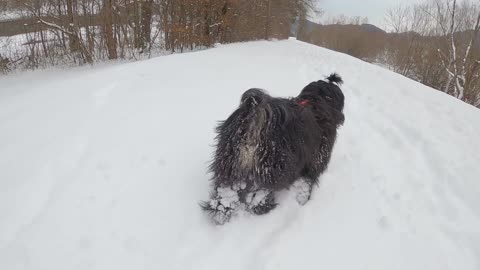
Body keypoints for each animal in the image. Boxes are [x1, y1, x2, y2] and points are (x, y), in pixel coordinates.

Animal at [202, 74, 344, 226]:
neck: (317, 101)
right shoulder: (315, 158)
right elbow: (306, 182)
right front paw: (303, 199)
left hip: (230, 160)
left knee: (226, 190)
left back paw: (221, 212)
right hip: (271, 166)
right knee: (259, 194)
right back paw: (263, 207)